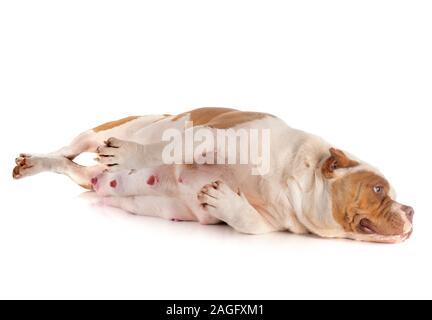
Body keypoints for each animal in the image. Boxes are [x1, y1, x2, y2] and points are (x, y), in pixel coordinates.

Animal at [11, 107, 414, 242]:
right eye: (379, 190)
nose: (412, 211)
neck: (291, 175)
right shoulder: (213, 135)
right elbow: (167, 149)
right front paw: (129, 153)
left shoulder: (272, 220)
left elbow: (250, 223)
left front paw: (221, 199)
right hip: (99, 131)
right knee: (65, 150)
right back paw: (31, 161)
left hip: (87, 177)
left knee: (72, 168)